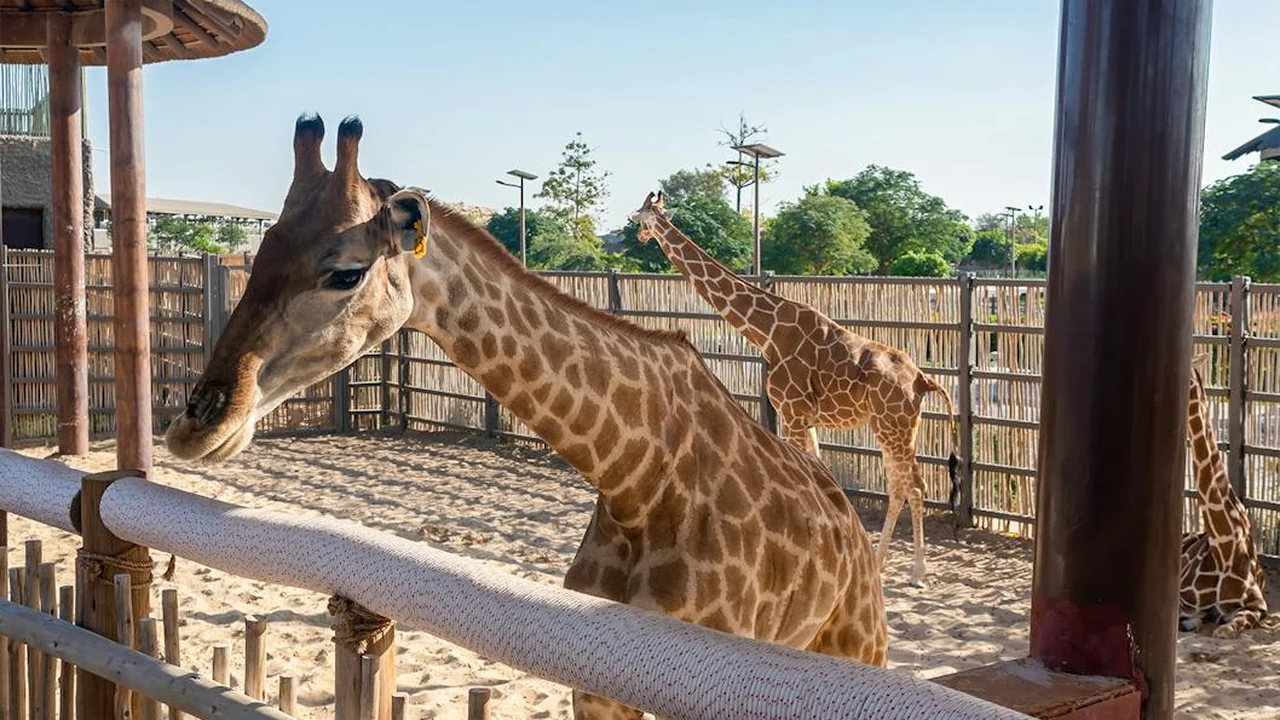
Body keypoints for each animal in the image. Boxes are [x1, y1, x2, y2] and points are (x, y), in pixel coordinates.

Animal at [164, 115, 889, 720]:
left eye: (345, 273)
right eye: (259, 253)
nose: (197, 423)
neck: (638, 477)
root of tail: (850, 522)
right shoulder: (597, 685)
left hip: (857, 645)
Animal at [632, 191, 959, 588]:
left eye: (640, 215)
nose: (637, 234)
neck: (767, 333)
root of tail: (924, 379)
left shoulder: (791, 412)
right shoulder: (804, 418)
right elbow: (820, 477)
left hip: (892, 427)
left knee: (910, 487)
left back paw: (913, 572)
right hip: (898, 427)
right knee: (905, 487)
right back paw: (885, 565)